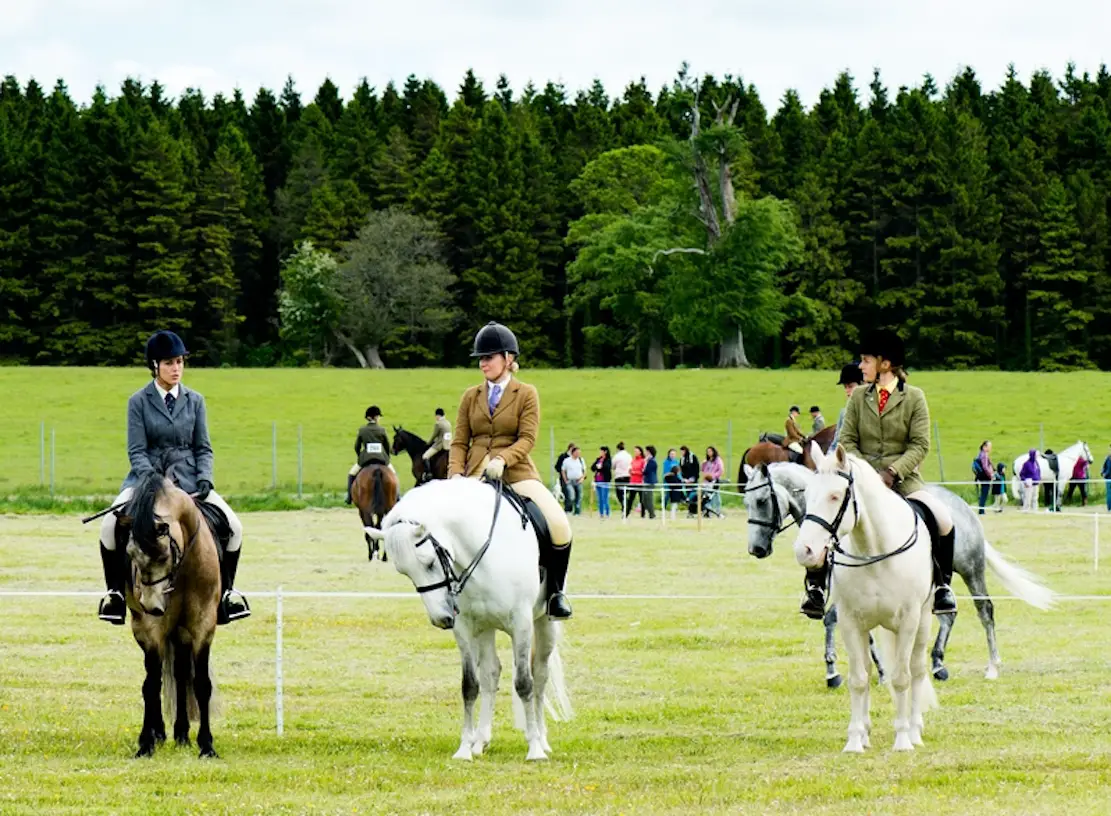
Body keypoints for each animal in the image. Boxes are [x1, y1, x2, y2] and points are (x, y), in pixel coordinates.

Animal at [117, 469, 221, 764]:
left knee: (181, 673)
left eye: (163, 555)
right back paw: (161, 734)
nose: (151, 606)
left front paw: (207, 746)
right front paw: (145, 744)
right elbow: (151, 685)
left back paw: (182, 734)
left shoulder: (203, 626)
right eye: (129, 553)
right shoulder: (150, 630)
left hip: (181, 632)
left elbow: (201, 684)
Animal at [366, 482, 573, 764]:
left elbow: (524, 683)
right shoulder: (465, 628)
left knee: (540, 675)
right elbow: (470, 685)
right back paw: (480, 741)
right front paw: (464, 748)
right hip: (485, 628)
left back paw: (542, 739)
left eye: (429, 562)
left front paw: (534, 750)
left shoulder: (521, 623)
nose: (441, 618)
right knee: (490, 674)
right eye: (405, 573)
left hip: (544, 623)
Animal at [742, 462, 1053, 689]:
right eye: (746, 502)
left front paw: (833, 672)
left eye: (762, 500)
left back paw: (992, 667)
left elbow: (831, 621)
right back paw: (938, 664)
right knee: (948, 613)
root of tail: (960, 504)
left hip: (971, 569)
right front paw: (878, 671)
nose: (756, 549)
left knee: (984, 610)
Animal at [795, 444, 942, 755]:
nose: (804, 551)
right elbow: (859, 679)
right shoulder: (850, 622)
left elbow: (901, 678)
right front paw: (854, 739)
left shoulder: (908, 621)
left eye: (835, 496)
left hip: (922, 621)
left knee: (916, 670)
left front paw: (902, 740)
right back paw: (865, 733)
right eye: (807, 494)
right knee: (869, 668)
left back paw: (915, 730)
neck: (874, 551)